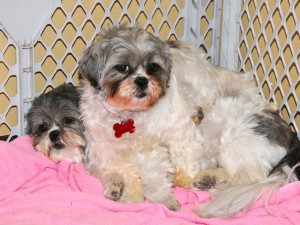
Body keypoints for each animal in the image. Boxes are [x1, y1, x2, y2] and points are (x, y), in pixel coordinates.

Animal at [78, 25, 300, 216]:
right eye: (123, 67)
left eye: (153, 68)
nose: (142, 81)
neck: (129, 116)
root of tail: (291, 136)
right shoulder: (104, 150)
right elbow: (124, 172)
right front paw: (130, 194)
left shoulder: (171, 133)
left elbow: (171, 160)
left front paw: (174, 185)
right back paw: (208, 179)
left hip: (236, 137)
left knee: (247, 176)